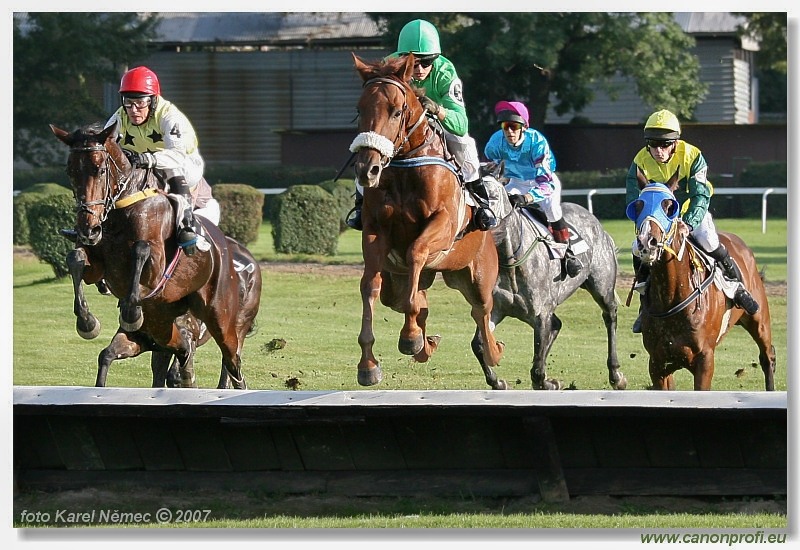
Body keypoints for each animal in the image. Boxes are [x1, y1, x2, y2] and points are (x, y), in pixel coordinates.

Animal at [50, 124, 260, 392]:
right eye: (71, 171)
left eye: (100, 169)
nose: (88, 228)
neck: (121, 209)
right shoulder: (98, 266)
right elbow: (75, 257)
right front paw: (87, 322)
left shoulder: (157, 269)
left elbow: (141, 250)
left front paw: (131, 311)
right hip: (167, 329)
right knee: (182, 357)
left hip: (223, 320)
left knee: (232, 363)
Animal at [468, 162, 624, 390]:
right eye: (471, 195)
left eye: (493, 195)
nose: (483, 220)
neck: (511, 261)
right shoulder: (497, 309)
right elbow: (479, 344)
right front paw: (498, 382)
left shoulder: (541, 314)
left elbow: (537, 366)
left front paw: (547, 382)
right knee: (557, 324)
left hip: (602, 287)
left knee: (610, 316)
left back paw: (616, 374)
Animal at [624, 179, 776, 390]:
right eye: (637, 206)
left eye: (669, 207)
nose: (647, 241)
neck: (671, 298)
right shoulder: (658, 363)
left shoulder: (704, 360)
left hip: (759, 320)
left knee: (767, 356)